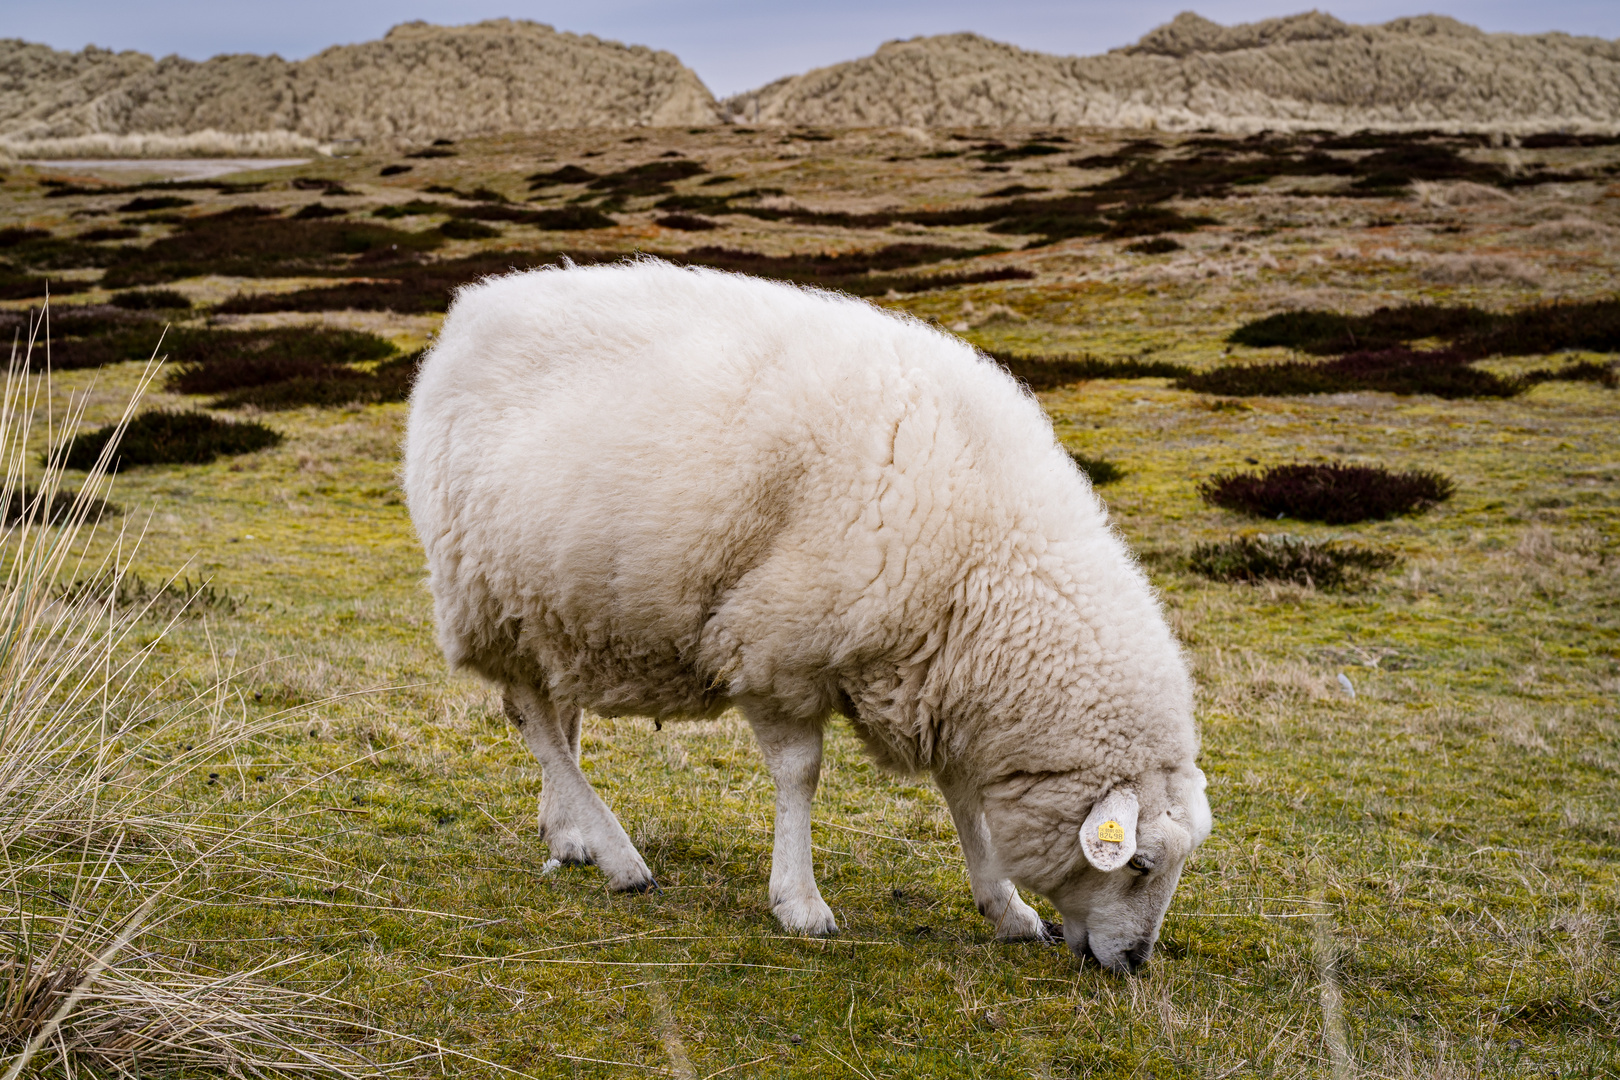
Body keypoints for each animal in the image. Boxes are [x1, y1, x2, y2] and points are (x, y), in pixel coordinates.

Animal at [403, 257, 1211, 977]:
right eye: (1138, 863)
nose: (1133, 964)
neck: (988, 561)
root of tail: (473, 309)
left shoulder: (942, 676)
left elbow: (962, 797)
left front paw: (1005, 907)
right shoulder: (778, 646)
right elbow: (801, 774)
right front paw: (800, 903)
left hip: (555, 605)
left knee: (557, 717)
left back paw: (568, 835)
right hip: (488, 593)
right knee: (534, 720)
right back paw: (619, 856)